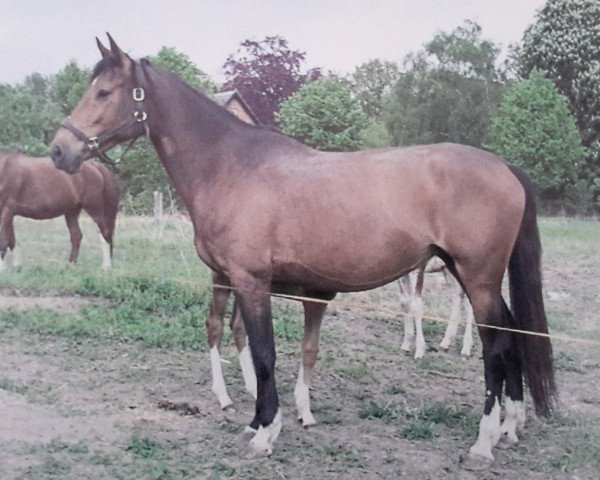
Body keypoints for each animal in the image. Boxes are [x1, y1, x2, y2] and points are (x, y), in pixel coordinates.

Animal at [49, 36, 556, 468]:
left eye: (104, 92)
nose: (58, 151)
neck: (231, 167)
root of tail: (503, 166)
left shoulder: (251, 282)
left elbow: (264, 354)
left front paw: (265, 432)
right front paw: (259, 420)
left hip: (478, 278)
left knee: (497, 346)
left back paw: (484, 442)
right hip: (475, 277)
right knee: (512, 336)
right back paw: (510, 425)